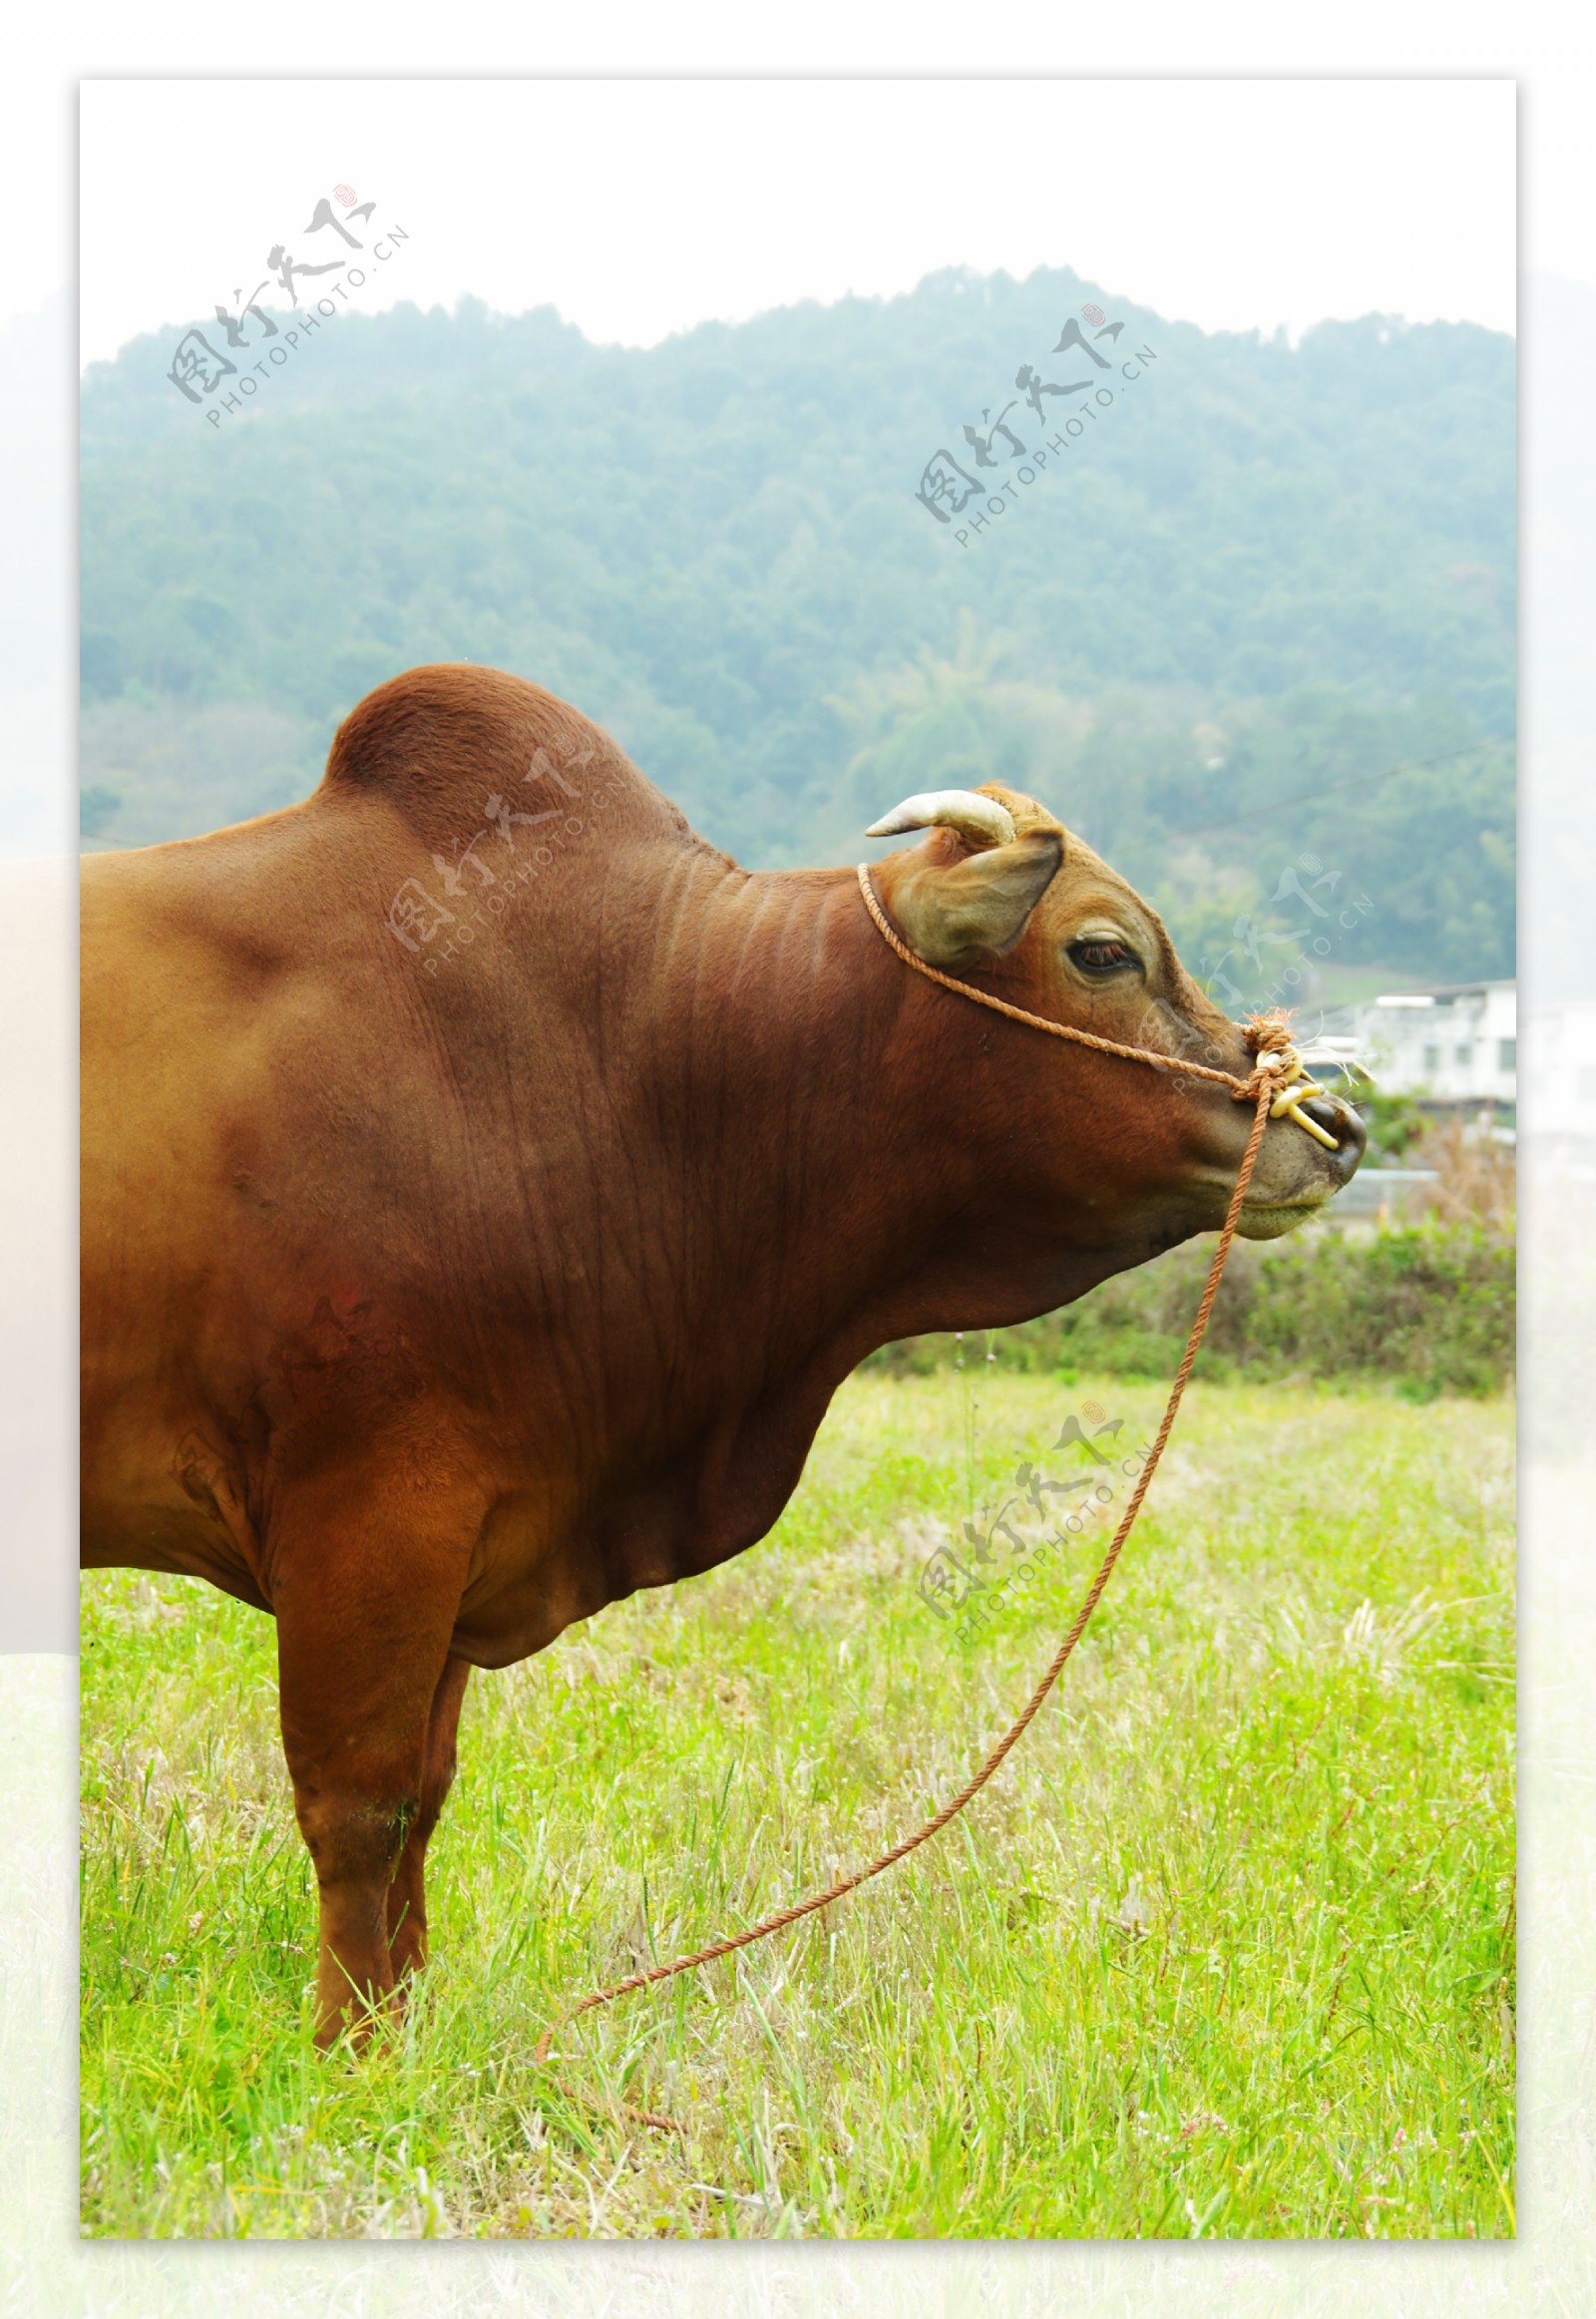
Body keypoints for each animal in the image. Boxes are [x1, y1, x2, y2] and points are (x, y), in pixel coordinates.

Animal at [81, 662, 1364, 2041]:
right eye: (1102, 948)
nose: (1335, 1127)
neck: (634, 1044)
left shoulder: (457, 1535)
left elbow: (425, 1799)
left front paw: (408, 2035)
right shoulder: (367, 1513)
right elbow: (361, 1808)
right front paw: (348, 2049)